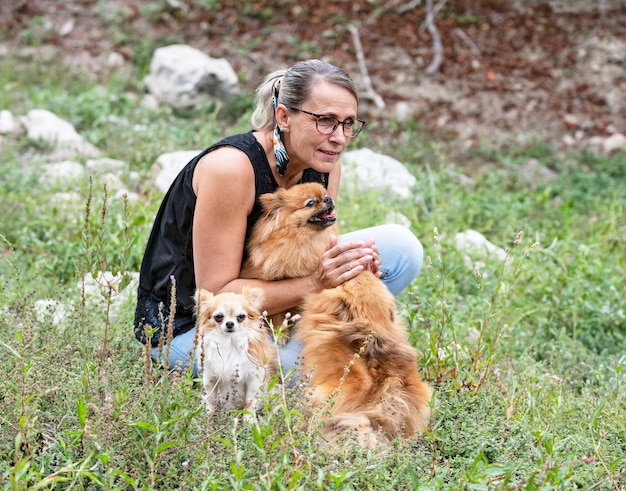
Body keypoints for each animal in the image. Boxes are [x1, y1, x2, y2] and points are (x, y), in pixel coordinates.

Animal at [193, 288, 276, 422]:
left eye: (241, 316)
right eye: (218, 317)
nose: (230, 323)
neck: (230, 342)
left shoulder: (254, 378)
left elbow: (249, 401)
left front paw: (249, 419)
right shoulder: (210, 377)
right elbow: (211, 399)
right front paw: (208, 416)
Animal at [239, 182, 336, 342]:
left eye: (325, 195)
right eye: (311, 203)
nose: (328, 199)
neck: (303, 241)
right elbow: (279, 310)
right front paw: (281, 332)